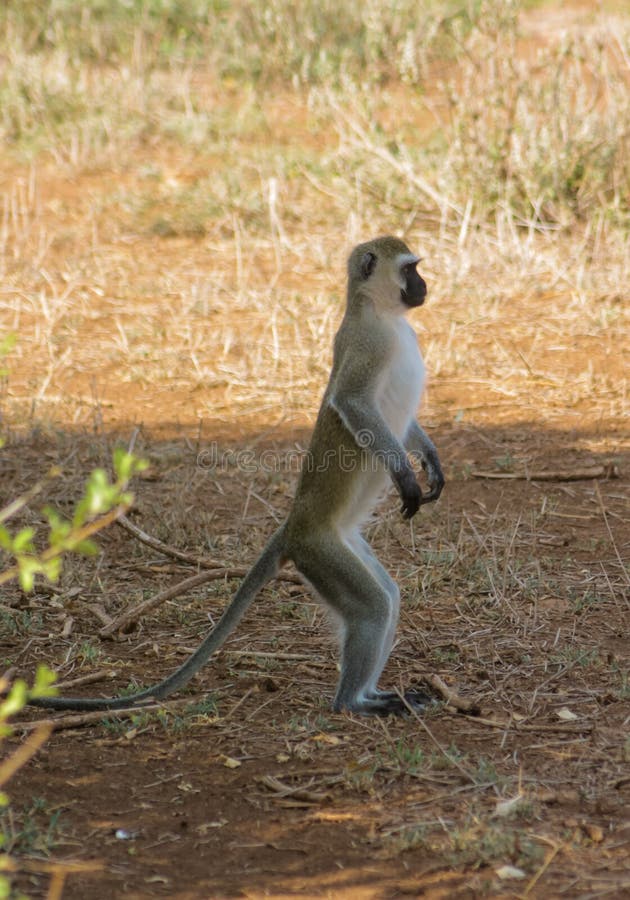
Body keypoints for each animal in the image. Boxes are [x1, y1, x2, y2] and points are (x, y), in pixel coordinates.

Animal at [29, 236, 444, 712]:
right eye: (410, 269)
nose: (424, 286)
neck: (383, 315)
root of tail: (294, 526)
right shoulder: (366, 347)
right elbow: (353, 402)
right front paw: (405, 476)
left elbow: (403, 425)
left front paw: (430, 462)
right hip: (319, 551)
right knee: (373, 608)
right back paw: (355, 703)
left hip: (340, 544)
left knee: (387, 597)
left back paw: (374, 692)